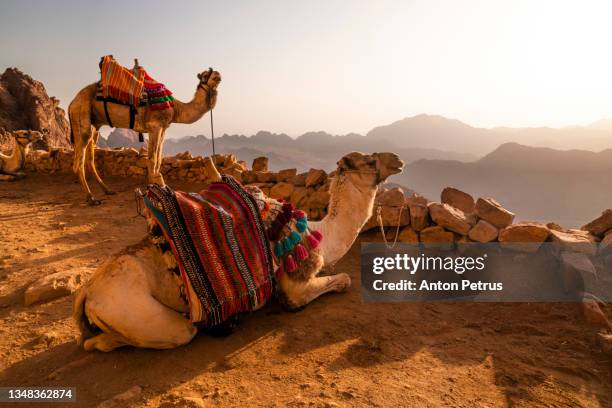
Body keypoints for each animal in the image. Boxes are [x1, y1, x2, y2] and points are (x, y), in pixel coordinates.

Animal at [68, 69, 221, 207]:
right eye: (205, 75)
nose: (218, 75)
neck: (176, 108)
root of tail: (71, 104)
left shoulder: (163, 128)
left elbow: (158, 158)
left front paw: (156, 186)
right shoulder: (155, 125)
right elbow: (152, 159)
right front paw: (157, 188)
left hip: (95, 124)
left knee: (90, 156)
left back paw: (107, 190)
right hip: (81, 113)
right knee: (78, 161)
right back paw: (91, 198)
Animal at [74, 151, 404, 352]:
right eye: (370, 161)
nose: (398, 160)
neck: (321, 234)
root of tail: (87, 292)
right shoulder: (294, 285)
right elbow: (340, 281)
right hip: (136, 311)